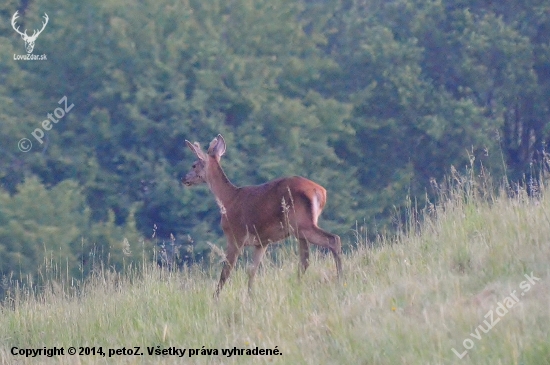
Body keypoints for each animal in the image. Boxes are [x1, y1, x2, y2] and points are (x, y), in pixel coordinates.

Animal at [183, 134, 342, 296]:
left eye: (194, 165)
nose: (184, 179)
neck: (229, 199)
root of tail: (320, 192)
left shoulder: (235, 236)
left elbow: (226, 272)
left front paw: (215, 298)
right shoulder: (261, 242)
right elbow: (252, 271)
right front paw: (250, 295)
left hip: (302, 223)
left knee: (333, 239)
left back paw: (340, 280)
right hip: (300, 228)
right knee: (305, 259)